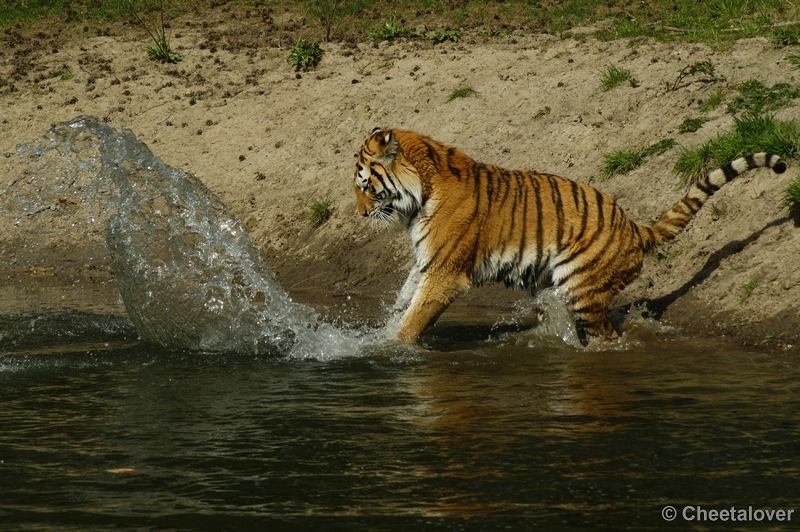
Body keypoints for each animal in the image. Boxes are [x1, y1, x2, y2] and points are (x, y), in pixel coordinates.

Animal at [354, 128, 792, 344]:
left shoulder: (446, 271)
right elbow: (405, 300)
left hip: (584, 288)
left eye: (365, 184)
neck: (420, 194)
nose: (360, 214)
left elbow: (415, 318)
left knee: (607, 337)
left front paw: (388, 347)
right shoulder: (427, 261)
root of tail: (634, 226)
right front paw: (382, 330)